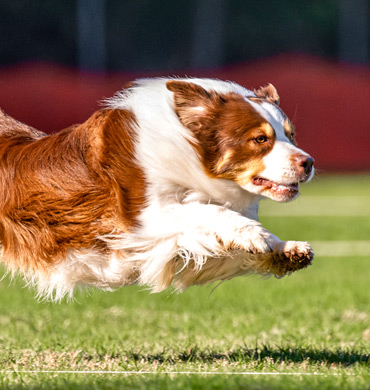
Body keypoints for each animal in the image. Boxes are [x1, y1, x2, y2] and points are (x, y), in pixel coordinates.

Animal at [0, 77, 314, 300]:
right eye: (260, 139)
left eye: (291, 135)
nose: (308, 162)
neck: (190, 152)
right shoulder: (142, 218)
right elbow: (208, 211)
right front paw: (256, 235)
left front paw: (286, 248)